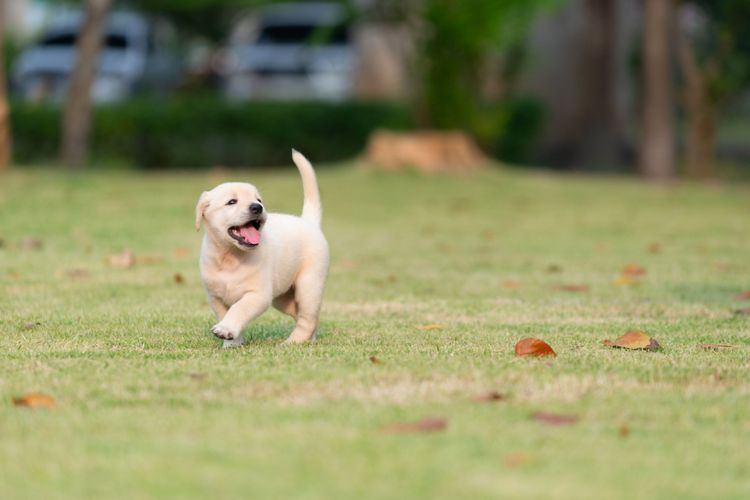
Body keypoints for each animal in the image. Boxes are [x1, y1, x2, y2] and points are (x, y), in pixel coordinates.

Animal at [195, 150, 330, 350]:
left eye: (258, 200)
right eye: (231, 201)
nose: (257, 207)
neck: (230, 257)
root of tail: (307, 221)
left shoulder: (258, 295)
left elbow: (238, 309)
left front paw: (226, 329)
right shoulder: (216, 297)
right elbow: (224, 313)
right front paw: (232, 342)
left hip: (309, 285)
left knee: (307, 319)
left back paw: (292, 341)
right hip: (283, 297)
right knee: (305, 317)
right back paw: (307, 340)